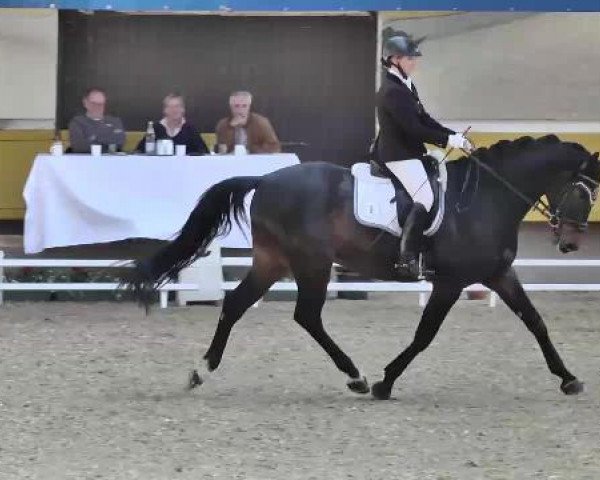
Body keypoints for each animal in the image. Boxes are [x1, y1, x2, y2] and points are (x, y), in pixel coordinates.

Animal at [123, 133, 600, 400]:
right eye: (583, 191)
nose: (571, 243)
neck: (485, 198)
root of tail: (266, 178)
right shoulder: (450, 282)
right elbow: (424, 335)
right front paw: (387, 382)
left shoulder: (498, 275)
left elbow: (536, 322)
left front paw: (569, 379)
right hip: (311, 262)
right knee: (306, 315)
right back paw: (357, 377)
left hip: (273, 261)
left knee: (237, 305)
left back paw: (202, 370)